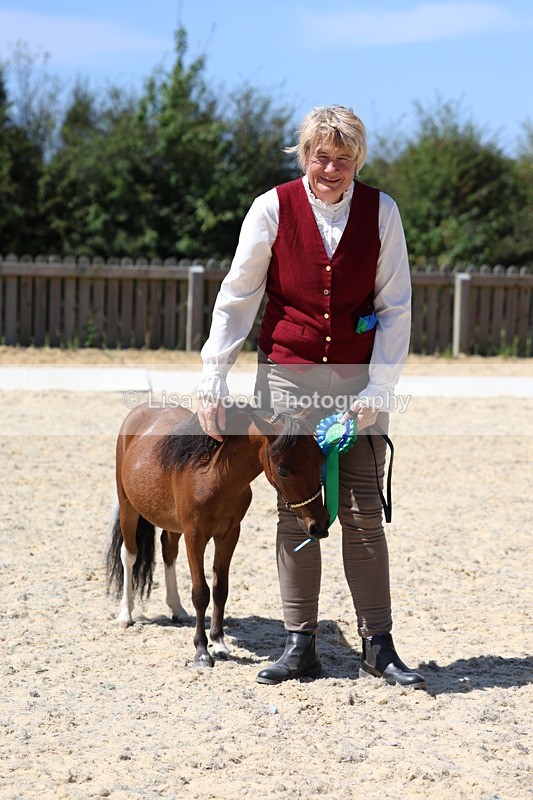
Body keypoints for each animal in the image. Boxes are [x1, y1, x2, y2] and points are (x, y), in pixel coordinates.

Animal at [106, 402, 330, 667]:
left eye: (320, 459)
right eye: (283, 471)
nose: (319, 525)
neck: (215, 477)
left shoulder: (229, 535)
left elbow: (220, 589)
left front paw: (219, 644)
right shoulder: (195, 536)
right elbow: (201, 593)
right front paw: (202, 651)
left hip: (172, 524)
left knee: (168, 551)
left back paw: (177, 610)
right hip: (128, 507)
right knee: (129, 555)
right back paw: (125, 615)